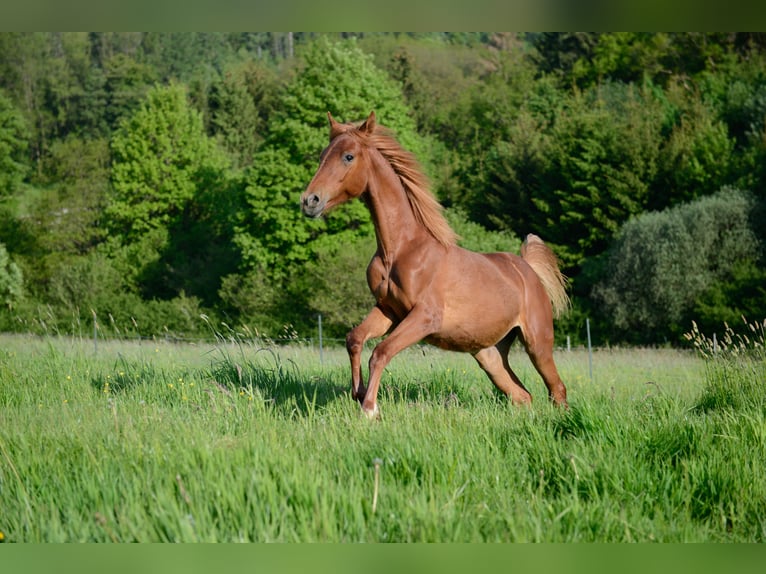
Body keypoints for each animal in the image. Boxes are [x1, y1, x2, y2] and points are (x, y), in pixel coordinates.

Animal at [300, 112, 568, 420]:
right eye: (322, 156)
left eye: (348, 156)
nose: (309, 201)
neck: (401, 249)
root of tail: (527, 269)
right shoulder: (388, 310)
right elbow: (354, 338)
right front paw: (358, 392)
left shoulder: (424, 318)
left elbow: (380, 352)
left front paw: (370, 408)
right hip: (489, 354)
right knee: (522, 395)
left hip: (538, 344)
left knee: (556, 390)